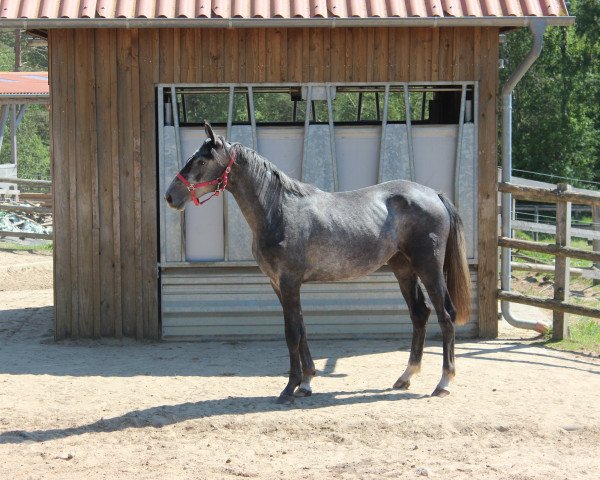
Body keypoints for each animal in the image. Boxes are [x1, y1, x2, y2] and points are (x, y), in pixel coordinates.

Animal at [166, 122, 472, 404]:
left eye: (201, 161)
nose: (170, 196)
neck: (278, 210)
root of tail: (434, 194)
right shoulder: (279, 284)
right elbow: (301, 329)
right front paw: (307, 383)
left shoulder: (289, 282)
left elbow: (291, 333)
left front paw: (289, 388)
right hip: (404, 269)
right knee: (419, 314)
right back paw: (406, 377)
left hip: (429, 267)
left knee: (445, 314)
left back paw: (443, 383)